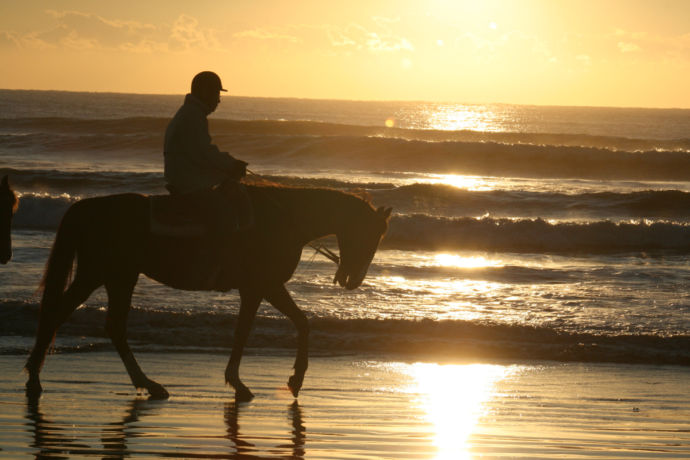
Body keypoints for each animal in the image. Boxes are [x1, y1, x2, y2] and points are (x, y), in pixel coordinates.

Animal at [24, 183, 390, 398]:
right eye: (372, 235)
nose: (353, 280)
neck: (284, 218)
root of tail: (86, 208)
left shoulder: (258, 288)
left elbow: (267, 327)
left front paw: (252, 380)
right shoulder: (263, 286)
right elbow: (279, 326)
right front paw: (280, 379)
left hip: (119, 277)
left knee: (112, 326)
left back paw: (147, 383)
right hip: (100, 274)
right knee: (61, 314)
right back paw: (35, 378)